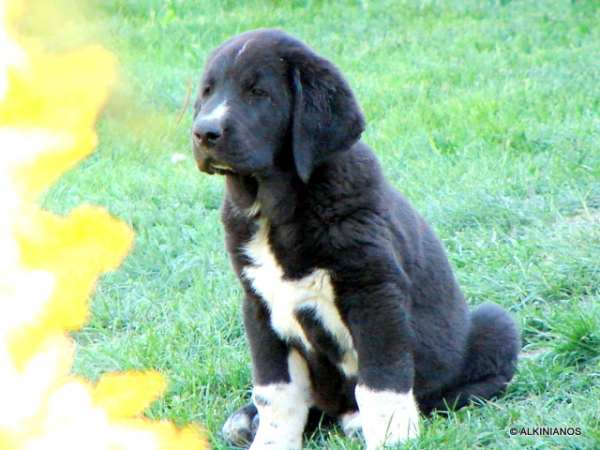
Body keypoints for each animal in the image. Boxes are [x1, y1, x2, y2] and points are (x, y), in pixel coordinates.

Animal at [192, 29, 520, 450]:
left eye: (259, 93)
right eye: (208, 91)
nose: (204, 132)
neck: (280, 210)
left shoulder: (375, 294)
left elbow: (381, 384)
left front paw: (393, 438)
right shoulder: (260, 305)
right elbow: (276, 393)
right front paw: (271, 440)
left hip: (493, 324)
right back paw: (246, 419)